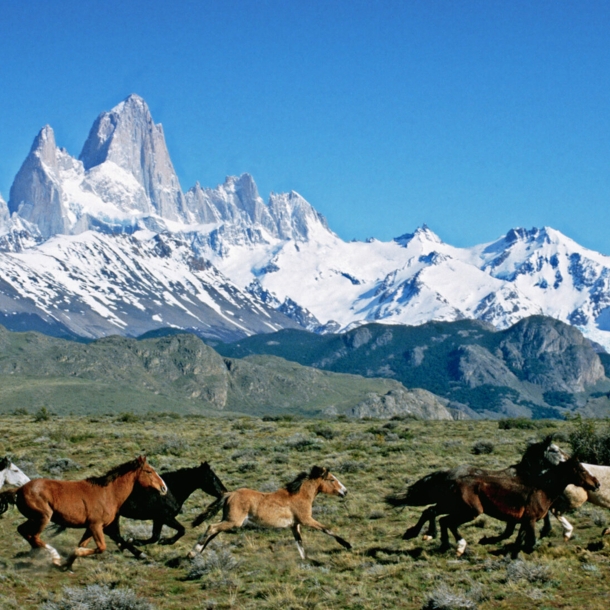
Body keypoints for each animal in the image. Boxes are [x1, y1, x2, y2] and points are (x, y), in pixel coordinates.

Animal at [0, 454, 166, 568]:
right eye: (149, 471)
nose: (164, 488)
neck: (108, 493)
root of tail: (19, 489)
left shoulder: (91, 527)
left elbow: (81, 545)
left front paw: (67, 563)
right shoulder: (96, 526)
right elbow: (100, 547)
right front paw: (65, 560)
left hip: (33, 518)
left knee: (23, 531)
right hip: (43, 517)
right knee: (34, 536)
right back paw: (54, 556)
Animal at [188, 464, 350, 560]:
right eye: (332, 479)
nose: (345, 491)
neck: (300, 495)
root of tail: (230, 494)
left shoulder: (295, 525)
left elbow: (300, 543)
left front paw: (306, 560)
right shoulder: (306, 520)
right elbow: (326, 529)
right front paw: (347, 545)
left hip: (229, 520)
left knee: (213, 532)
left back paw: (196, 553)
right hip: (233, 522)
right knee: (211, 528)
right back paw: (193, 552)